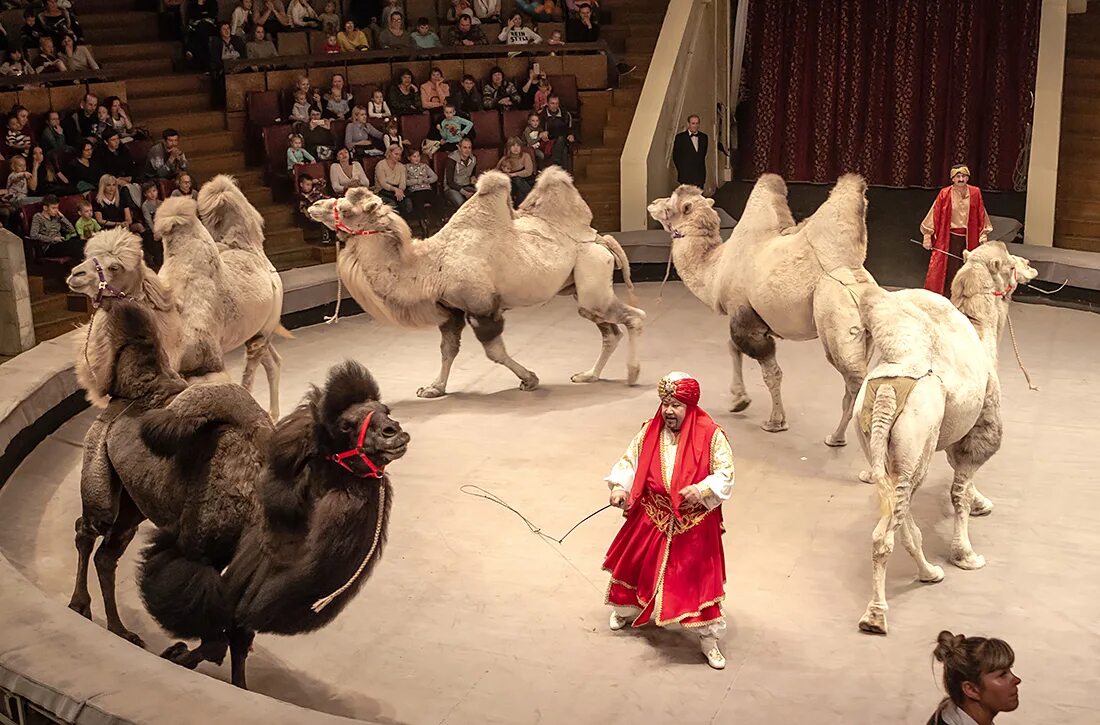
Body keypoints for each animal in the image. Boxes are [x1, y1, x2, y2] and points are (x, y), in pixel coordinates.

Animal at [140, 360, 409, 690]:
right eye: (346, 425)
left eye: (386, 410)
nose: (394, 433)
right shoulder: (204, 561)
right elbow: (215, 627)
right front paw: (178, 655)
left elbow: (236, 636)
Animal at [310, 166, 642, 396]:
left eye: (346, 209)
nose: (313, 206)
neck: (429, 268)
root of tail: (600, 238)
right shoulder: (452, 311)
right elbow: (447, 350)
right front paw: (433, 388)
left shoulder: (481, 306)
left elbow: (494, 352)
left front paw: (530, 379)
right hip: (579, 288)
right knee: (609, 330)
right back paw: (588, 375)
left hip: (592, 277)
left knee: (634, 317)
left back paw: (632, 374)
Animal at [646, 178, 880, 444]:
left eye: (670, 206)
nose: (652, 203)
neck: (715, 270)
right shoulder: (749, 320)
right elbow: (733, 348)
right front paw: (739, 400)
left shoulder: (746, 320)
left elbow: (771, 373)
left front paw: (774, 422)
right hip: (865, 340)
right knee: (854, 386)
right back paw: (837, 437)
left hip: (836, 326)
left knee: (856, 381)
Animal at [849, 242, 1038, 633]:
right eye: (1011, 263)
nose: (1031, 265)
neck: (981, 333)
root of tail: (887, 391)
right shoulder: (981, 423)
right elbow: (959, 489)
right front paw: (965, 554)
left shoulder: (957, 427)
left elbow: (959, 477)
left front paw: (982, 503)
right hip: (916, 445)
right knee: (886, 532)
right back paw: (877, 615)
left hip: (878, 443)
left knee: (900, 516)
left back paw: (929, 572)